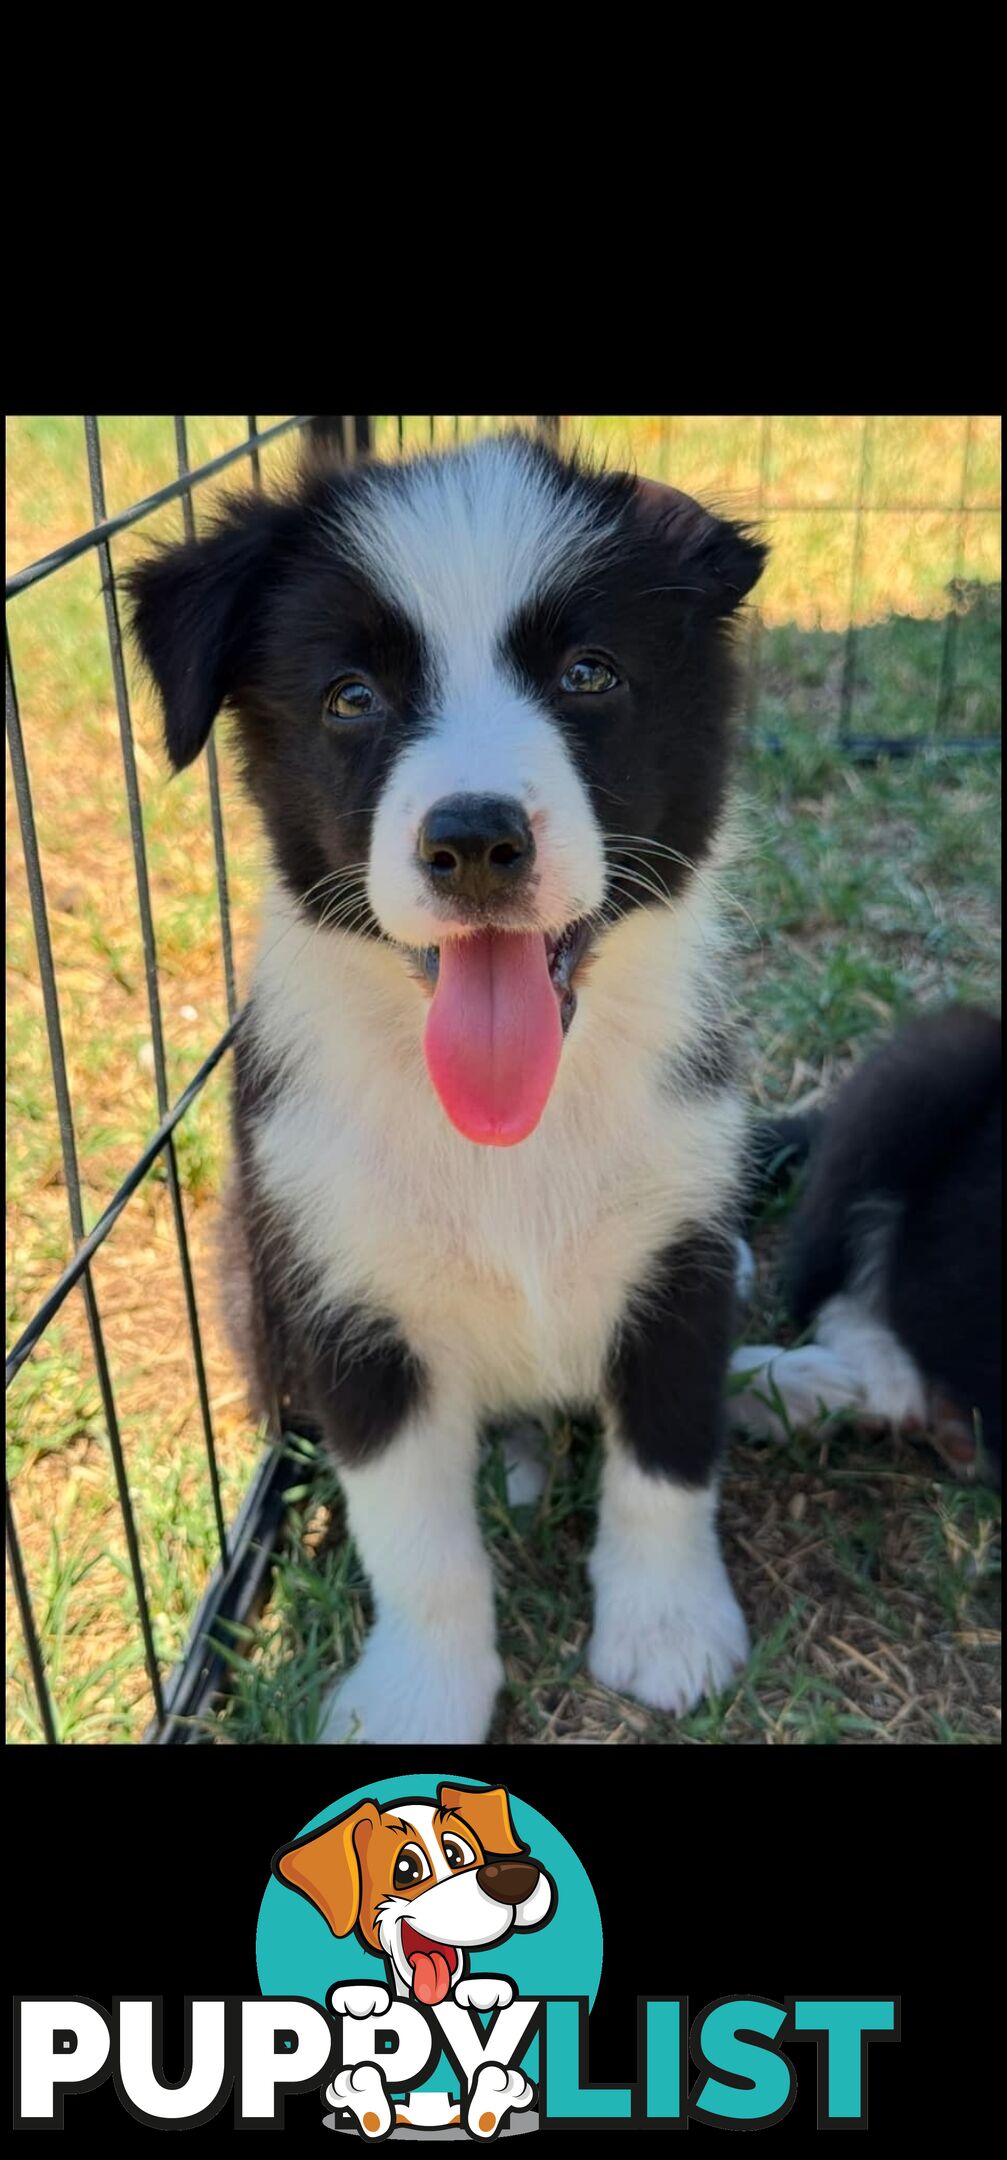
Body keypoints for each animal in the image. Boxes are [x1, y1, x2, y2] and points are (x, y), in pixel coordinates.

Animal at [129, 434, 764, 1736]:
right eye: (350, 698)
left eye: (587, 673)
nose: (473, 841)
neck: (510, 1133)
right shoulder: (349, 1300)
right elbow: (413, 1538)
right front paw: (418, 1700)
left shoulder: (677, 1246)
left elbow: (667, 1460)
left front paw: (668, 1632)